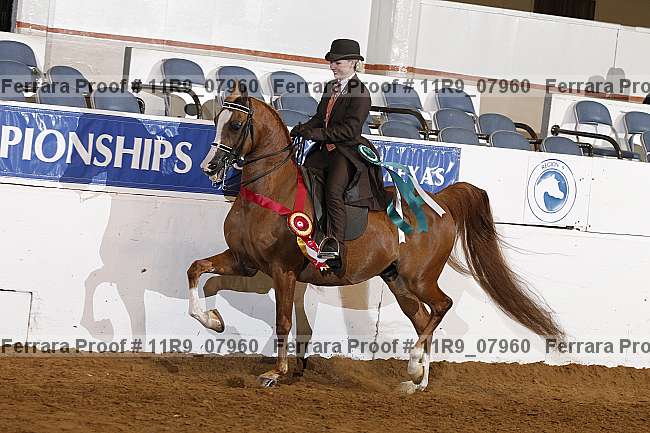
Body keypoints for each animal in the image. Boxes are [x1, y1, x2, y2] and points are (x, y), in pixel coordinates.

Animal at [187, 90, 564, 392]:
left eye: (236, 125)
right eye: (217, 120)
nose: (209, 167)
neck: (271, 191)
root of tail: (439, 202)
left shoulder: (284, 271)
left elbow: (283, 321)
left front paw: (275, 374)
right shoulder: (244, 261)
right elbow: (196, 270)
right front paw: (213, 321)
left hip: (420, 278)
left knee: (441, 307)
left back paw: (414, 366)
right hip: (397, 281)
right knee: (422, 319)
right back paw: (417, 381)